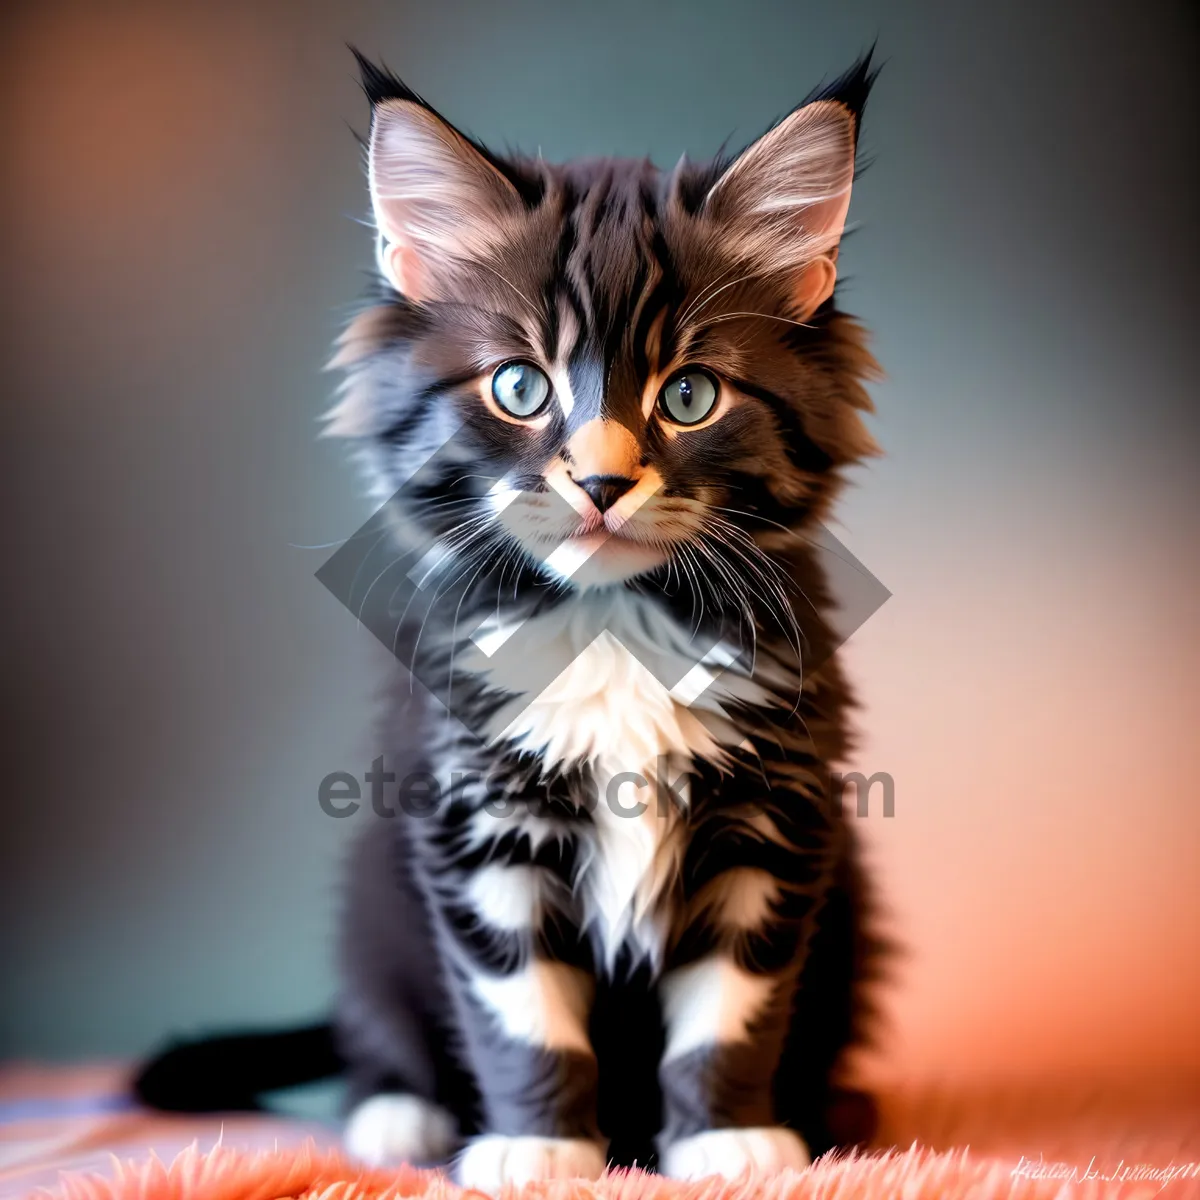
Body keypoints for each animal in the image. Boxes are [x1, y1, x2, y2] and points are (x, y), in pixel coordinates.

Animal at [326, 51, 883, 1185]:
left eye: (690, 396)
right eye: (519, 386)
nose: (601, 482)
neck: (613, 624)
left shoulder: (775, 826)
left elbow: (733, 1010)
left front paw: (726, 1138)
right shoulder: (476, 825)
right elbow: (520, 1014)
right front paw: (537, 1146)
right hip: (371, 902)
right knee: (378, 1028)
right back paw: (399, 1113)